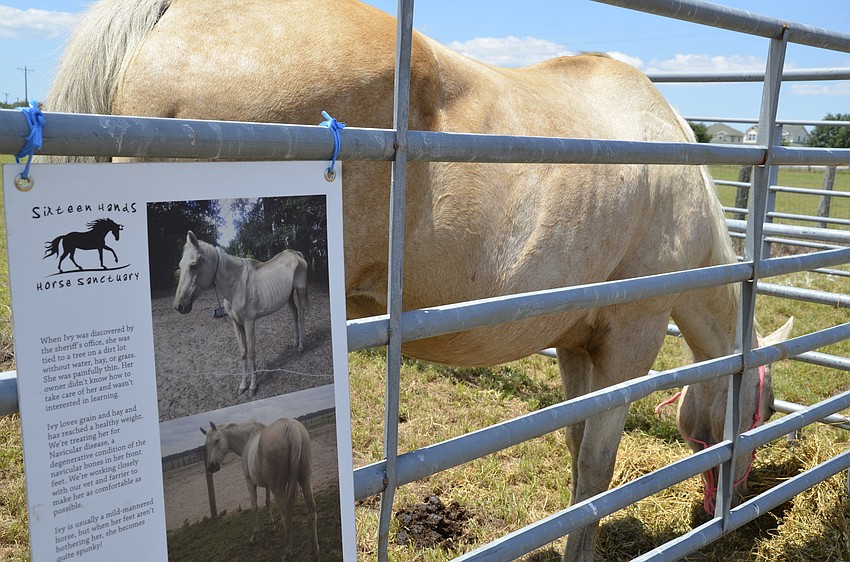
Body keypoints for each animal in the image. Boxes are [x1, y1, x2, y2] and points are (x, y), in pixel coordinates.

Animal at [173, 231, 308, 398]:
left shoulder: (249, 322)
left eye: (193, 266)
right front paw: (243, 385)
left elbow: (251, 353)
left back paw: (301, 347)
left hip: (300, 290)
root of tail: (295, 253)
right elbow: (243, 352)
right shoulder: (236, 323)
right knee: (294, 314)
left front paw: (253, 387)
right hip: (288, 295)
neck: (236, 286)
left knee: (301, 316)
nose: (179, 306)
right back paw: (295, 343)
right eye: (180, 266)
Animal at [200, 418, 319, 561]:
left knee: (286, 516)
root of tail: (291, 426)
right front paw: (272, 526)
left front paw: (254, 537)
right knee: (311, 511)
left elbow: (255, 507)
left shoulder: (250, 483)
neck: (247, 439)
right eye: (206, 445)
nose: (211, 466)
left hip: (278, 489)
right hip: (305, 479)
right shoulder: (267, 486)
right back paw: (315, 550)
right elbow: (267, 502)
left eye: (217, 440)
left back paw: (287, 552)